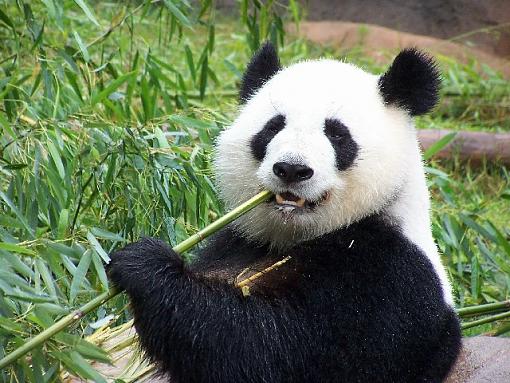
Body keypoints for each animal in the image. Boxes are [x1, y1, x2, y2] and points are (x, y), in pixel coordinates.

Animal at [108, 42, 462, 383]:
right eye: (273, 127)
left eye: (337, 134)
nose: (292, 169)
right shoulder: (237, 242)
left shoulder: (388, 280)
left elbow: (265, 349)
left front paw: (145, 264)